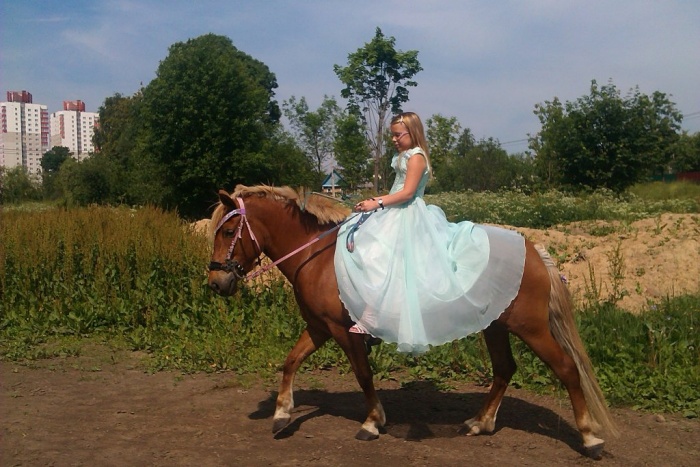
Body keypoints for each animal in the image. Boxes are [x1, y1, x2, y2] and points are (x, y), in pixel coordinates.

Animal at [207, 184, 618, 459]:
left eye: (227, 232)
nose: (215, 283)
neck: (317, 258)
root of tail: (534, 251)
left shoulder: (343, 332)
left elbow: (363, 376)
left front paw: (373, 422)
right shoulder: (320, 328)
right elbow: (290, 362)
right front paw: (281, 415)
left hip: (531, 328)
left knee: (567, 369)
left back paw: (590, 439)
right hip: (496, 326)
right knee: (504, 369)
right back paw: (479, 423)